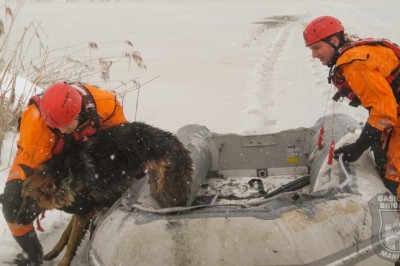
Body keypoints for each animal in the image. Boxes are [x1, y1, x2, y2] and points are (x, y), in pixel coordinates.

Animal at [17, 121, 194, 266]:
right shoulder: (82, 210)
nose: (17, 221)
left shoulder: (83, 213)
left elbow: (72, 242)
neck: (66, 174)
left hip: (164, 189)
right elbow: (66, 234)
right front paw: (54, 251)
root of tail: (175, 142)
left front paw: (63, 261)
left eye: (32, 200)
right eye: (22, 198)